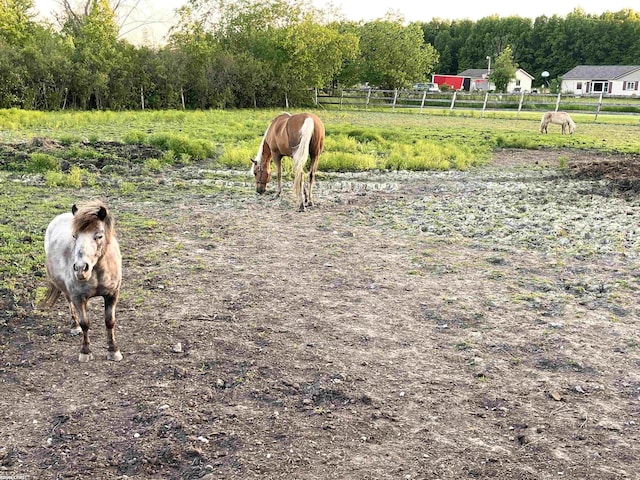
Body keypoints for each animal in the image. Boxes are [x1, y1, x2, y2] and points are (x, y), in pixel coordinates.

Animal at [42, 201, 124, 362]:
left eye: (99, 235)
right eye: (75, 236)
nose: (80, 269)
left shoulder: (112, 294)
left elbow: (110, 321)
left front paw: (113, 351)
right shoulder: (78, 297)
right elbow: (85, 323)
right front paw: (85, 352)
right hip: (67, 291)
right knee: (70, 304)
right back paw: (74, 327)